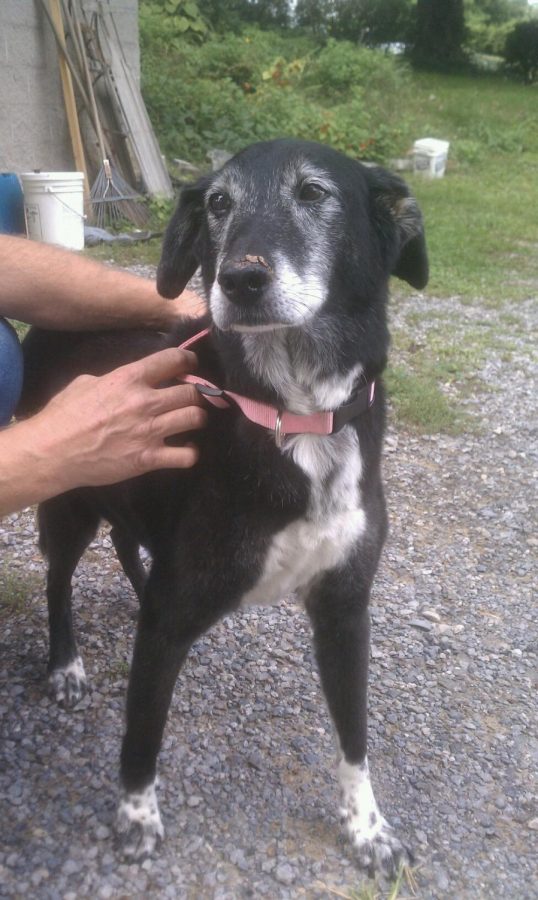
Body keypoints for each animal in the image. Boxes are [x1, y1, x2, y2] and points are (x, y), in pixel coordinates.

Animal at [17, 141, 428, 880]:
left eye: (315, 193)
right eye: (216, 203)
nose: (239, 281)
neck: (296, 415)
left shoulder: (345, 606)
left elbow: (354, 734)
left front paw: (368, 830)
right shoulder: (166, 624)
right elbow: (142, 732)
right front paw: (136, 819)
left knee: (129, 544)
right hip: (68, 499)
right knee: (59, 580)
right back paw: (65, 666)